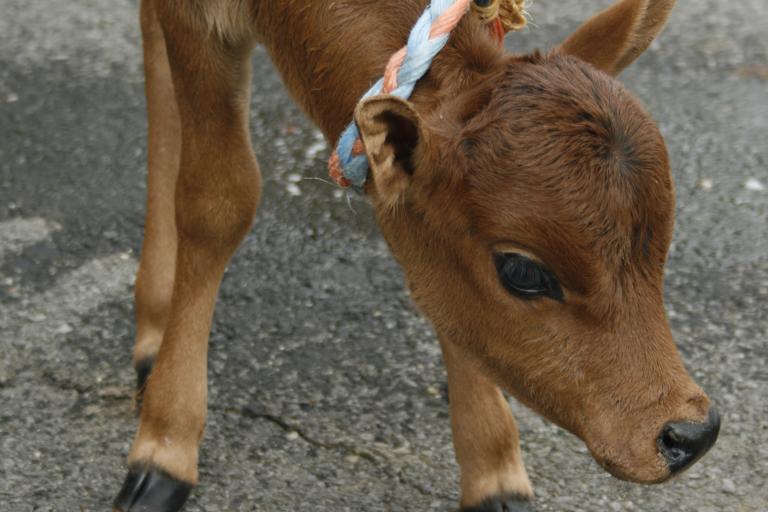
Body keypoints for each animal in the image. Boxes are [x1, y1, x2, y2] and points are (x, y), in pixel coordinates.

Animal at [114, 1, 720, 512]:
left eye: (660, 246)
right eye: (522, 270)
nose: (689, 434)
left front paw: (494, 471)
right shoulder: (196, 21)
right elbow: (217, 200)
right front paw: (165, 445)